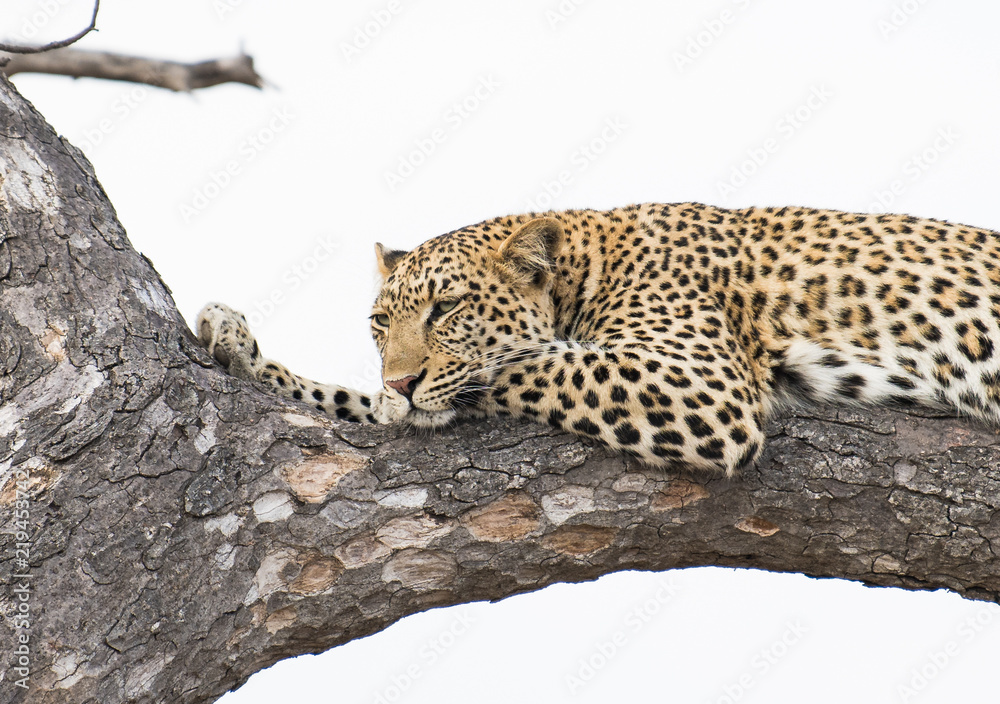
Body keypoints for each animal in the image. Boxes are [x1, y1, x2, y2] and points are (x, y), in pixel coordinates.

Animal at [197, 202, 1000, 475]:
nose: (400, 380)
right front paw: (237, 343)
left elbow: (528, 366)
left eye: (448, 308)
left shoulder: (701, 384)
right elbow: (357, 403)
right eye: (378, 324)